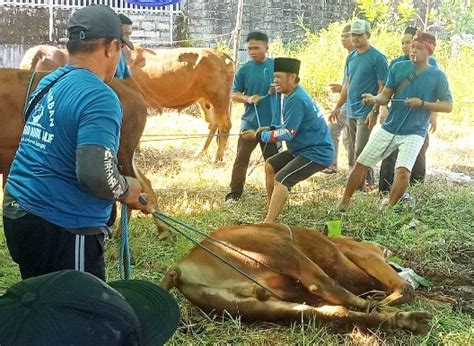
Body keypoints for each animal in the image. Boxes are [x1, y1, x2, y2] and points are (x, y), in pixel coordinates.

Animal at [161, 223, 432, 334]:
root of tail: (179, 268)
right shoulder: (367, 254)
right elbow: (403, 287)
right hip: (279, 245)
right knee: (329, 288)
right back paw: (392, 311)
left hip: (251, 305)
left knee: (332, 311)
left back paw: (407, 320)